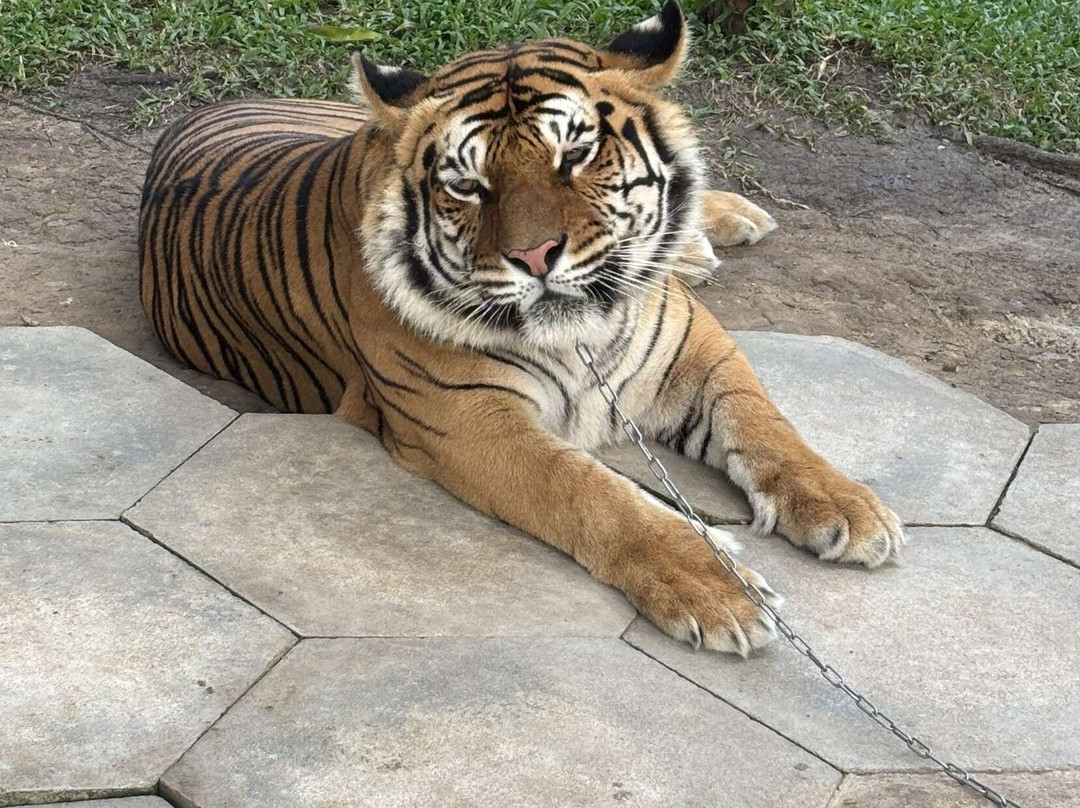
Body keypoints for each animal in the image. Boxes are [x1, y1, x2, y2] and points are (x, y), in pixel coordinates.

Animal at [138, 0, 904, 656]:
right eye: (467, 186)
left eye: (576, 156)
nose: (536, 256)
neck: (585, 335)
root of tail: (216, 106)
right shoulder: (466, 420)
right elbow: (590, 493)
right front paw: (718, 586)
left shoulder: (695, 347)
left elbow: (764, 422)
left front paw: (848, 508)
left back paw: (718, 228)